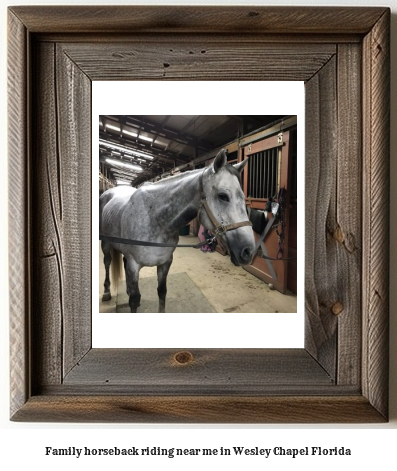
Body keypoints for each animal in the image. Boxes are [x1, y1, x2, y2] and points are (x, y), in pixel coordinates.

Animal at [98, 149, 254, 314]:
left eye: (243, 196)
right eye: (223, 196)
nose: (248, 251)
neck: (155, 219)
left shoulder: (165, 263)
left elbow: (161, 292)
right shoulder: (134, 264)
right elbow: (133, 299)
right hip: (106, 244)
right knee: (107, 262)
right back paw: (107, 293)